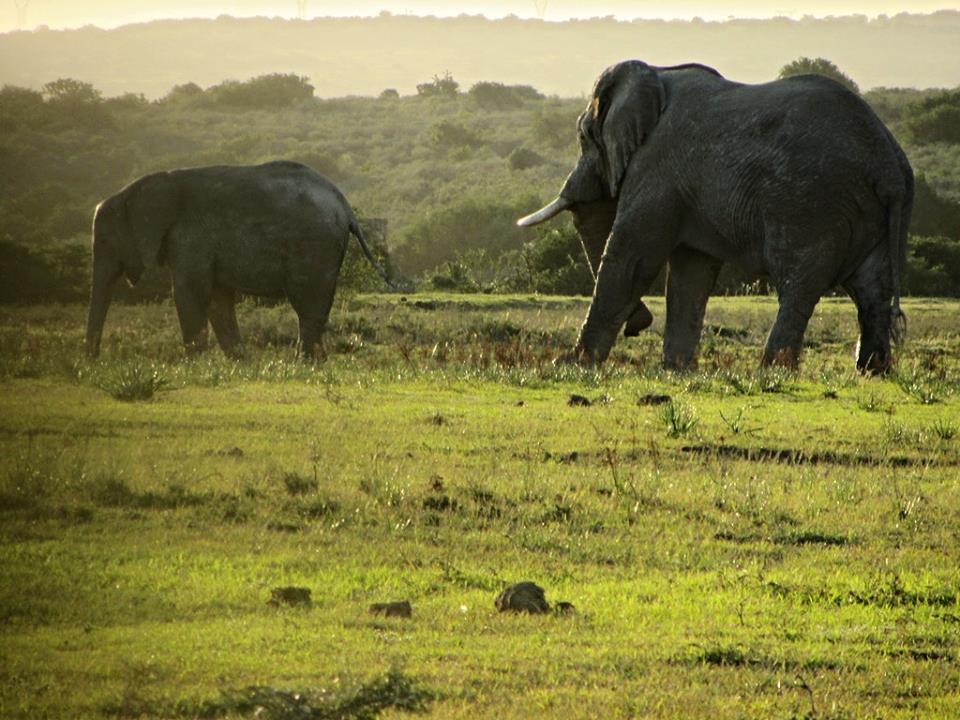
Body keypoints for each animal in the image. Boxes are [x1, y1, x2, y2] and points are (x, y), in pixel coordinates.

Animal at [85, 161, 388, 360]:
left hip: (314, 245)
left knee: (307, 303)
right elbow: (217, 298)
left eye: (105, 241)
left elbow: (189, 291)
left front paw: (195, 364)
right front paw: (240, 362)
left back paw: (304, 363)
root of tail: (345, 206)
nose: (91, 361)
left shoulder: (189, 237)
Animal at [518, 60, 913, 373]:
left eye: (585, 136)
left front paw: (569, 364)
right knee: (872, 290)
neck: (655, 75)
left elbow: (631, 257)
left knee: (799, 285)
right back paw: (871, 372)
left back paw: (771, 371)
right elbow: (691, 272)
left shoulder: (659, 165)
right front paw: (677, 370)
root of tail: (888, 163)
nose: (638, 325)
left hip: (813, 203)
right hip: (873, 211)